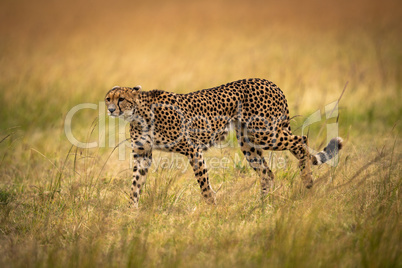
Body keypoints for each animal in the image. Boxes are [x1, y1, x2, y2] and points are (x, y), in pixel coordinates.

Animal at [106, 78, 342, 208]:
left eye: (121, 99)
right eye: (108, 98)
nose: (109, 109)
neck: (138, 114)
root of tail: (269, 82)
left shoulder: (193, 150)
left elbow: (204, 185)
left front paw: (212, 210)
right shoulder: (143, 154)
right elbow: (135, 184)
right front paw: (131, 211)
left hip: (265, 133)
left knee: (300, 141)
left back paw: (307, 180)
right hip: (248, 142)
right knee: (267, 172)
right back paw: (262, 205)